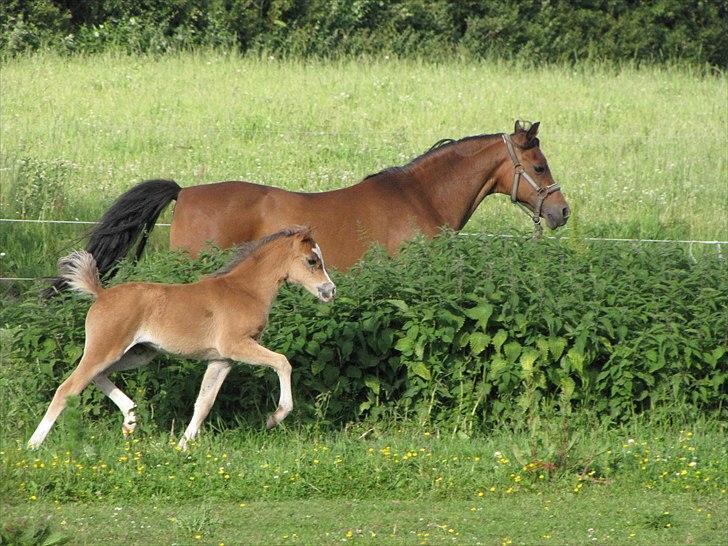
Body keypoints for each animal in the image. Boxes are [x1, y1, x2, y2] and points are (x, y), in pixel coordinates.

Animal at [28, 226, 336, 449]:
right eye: (312, 261)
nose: (330, 290)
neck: (244, 290)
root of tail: (101, 294)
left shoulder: (222, 360)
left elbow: (204, 403)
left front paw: (183, 446)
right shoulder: (238, 346)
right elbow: (283, 362)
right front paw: (275, 417)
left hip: (138, 354)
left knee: (96, 376)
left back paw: (130, 419)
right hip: (106, 348)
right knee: (67, 388)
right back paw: (33, 445)